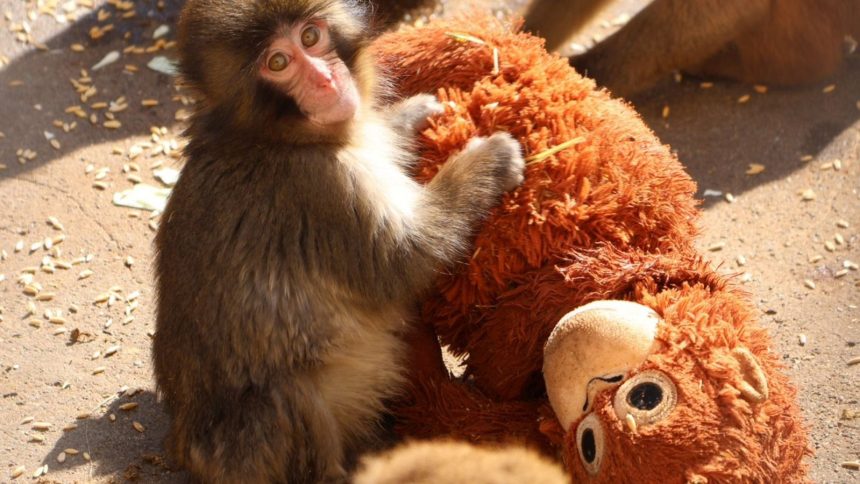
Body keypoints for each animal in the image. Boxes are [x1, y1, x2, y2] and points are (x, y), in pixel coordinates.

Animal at [151, 0, 525, 482]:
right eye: (278, 63)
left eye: (310, 37)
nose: (326, 81)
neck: (272, 137)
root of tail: (181, 445)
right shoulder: (322, 188)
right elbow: (403, 260)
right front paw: (489, 161)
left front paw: (408, 115)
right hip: (246, 450)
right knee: (287, 395)